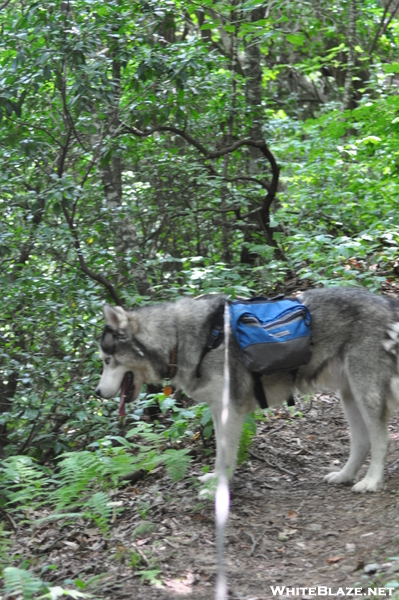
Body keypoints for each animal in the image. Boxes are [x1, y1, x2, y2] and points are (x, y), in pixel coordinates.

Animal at [94, 290, 399, 492]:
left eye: (107, 360)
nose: (97, 392)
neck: (180, 340)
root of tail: (388, 303)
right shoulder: (218, 409)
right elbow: (220, 454)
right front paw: (215, 481)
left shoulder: (231, 410)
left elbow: (225, 454)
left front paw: (219, 489)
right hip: (349, 396)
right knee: (362, 442)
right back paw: (345, 476)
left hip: (366, 394)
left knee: (381, 441)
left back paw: (371, 482)